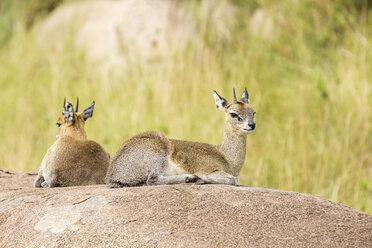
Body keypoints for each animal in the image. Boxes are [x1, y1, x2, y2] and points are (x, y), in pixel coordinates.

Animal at [104, 88, 256, 187]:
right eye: (234, 113)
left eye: (253, 112)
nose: (251, 125)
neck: (226, 158)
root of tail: (112, 174)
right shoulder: (210, 170)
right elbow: (232, 180)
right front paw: (200, 178)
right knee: (152, 179)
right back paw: (190, 177)